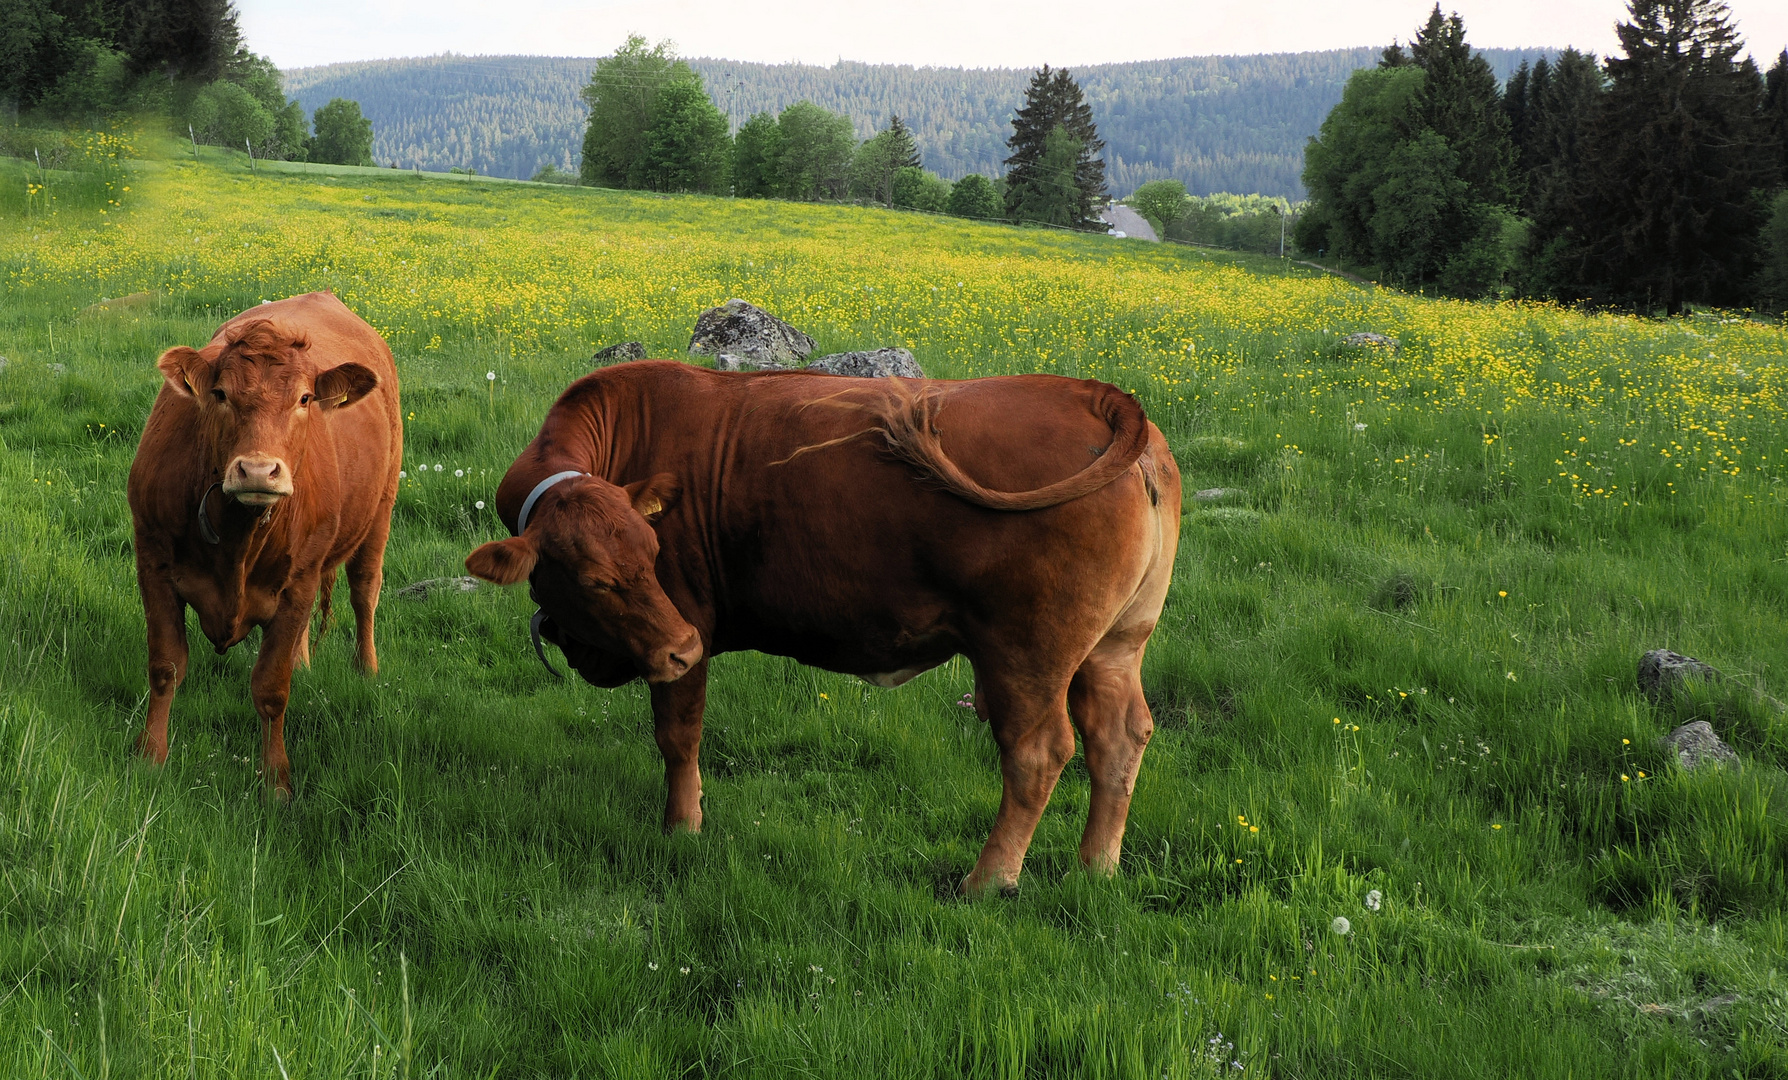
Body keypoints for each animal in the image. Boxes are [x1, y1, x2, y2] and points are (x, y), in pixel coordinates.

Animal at [128, 291, 402, 797]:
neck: (239, 536)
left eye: (305, 399)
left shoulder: (299, 582)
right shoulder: (152, 561)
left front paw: (276, 782)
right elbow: (165, 666)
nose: (258, 470)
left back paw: (367, 668)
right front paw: (151, 756)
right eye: (220, 394)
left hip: (380, 510)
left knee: (364, 590)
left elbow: (272, 689)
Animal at [468, 359, 1180, 890]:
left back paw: (987, 881)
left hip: (1025, 658)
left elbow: (678, 737)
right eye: (596, 579)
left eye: (652, 552)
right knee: (1119, 738)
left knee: (1037, 754)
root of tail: (1098, 396)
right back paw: (1095, 869)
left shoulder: (687, 621)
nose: (683, 646)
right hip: (1115, 647)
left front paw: (682, 828)